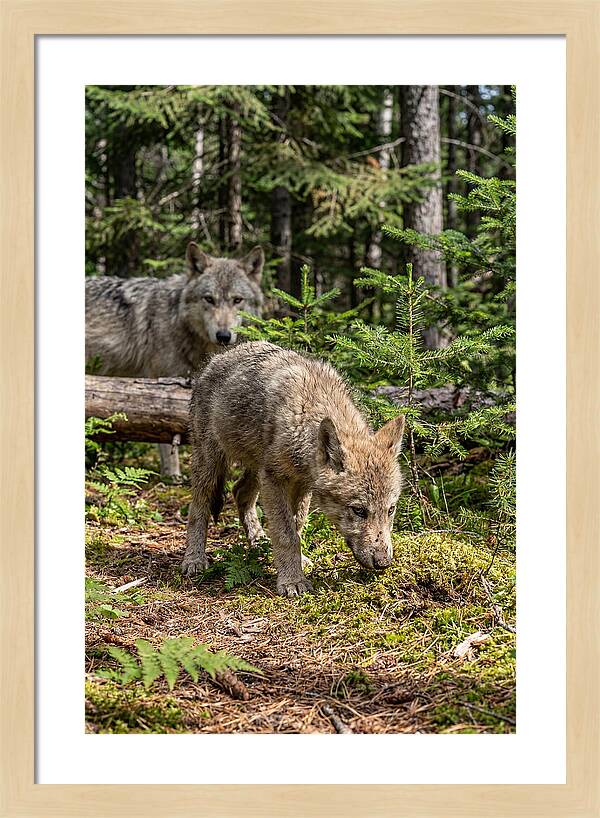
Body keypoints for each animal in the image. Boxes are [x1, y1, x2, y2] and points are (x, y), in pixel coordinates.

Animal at [85, 243, 265, 476]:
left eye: (237, 300)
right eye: (209, 299)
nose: (224, 336)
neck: (177, 321)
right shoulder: (161, 387)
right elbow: (166, 439)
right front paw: (172, 476)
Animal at [183, 341, 405, 597]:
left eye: (391, 510)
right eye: (359, 510)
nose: (383, 562)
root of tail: (215, 359)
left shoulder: (302, 484)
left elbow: (297, 526)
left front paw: (296, 563)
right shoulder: (275, 479)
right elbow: (286, 533)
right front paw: (292, 581)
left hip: (256, 469)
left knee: (239, 492)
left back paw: (258, 541)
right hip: (211, 463)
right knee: (198, 507)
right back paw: (194, 559)